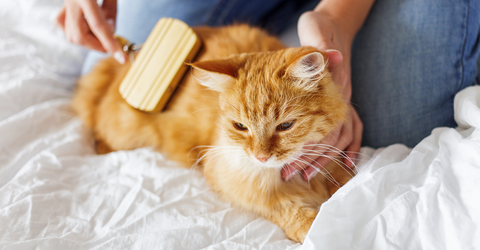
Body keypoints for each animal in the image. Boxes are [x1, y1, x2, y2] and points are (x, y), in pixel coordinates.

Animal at [73, 24, 354, 243]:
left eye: (285, 126)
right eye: (240, 127)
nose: (260, 157)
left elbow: (344, 183)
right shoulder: (235, 182)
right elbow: (289, 210)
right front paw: (316, 227)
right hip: (126, 130)